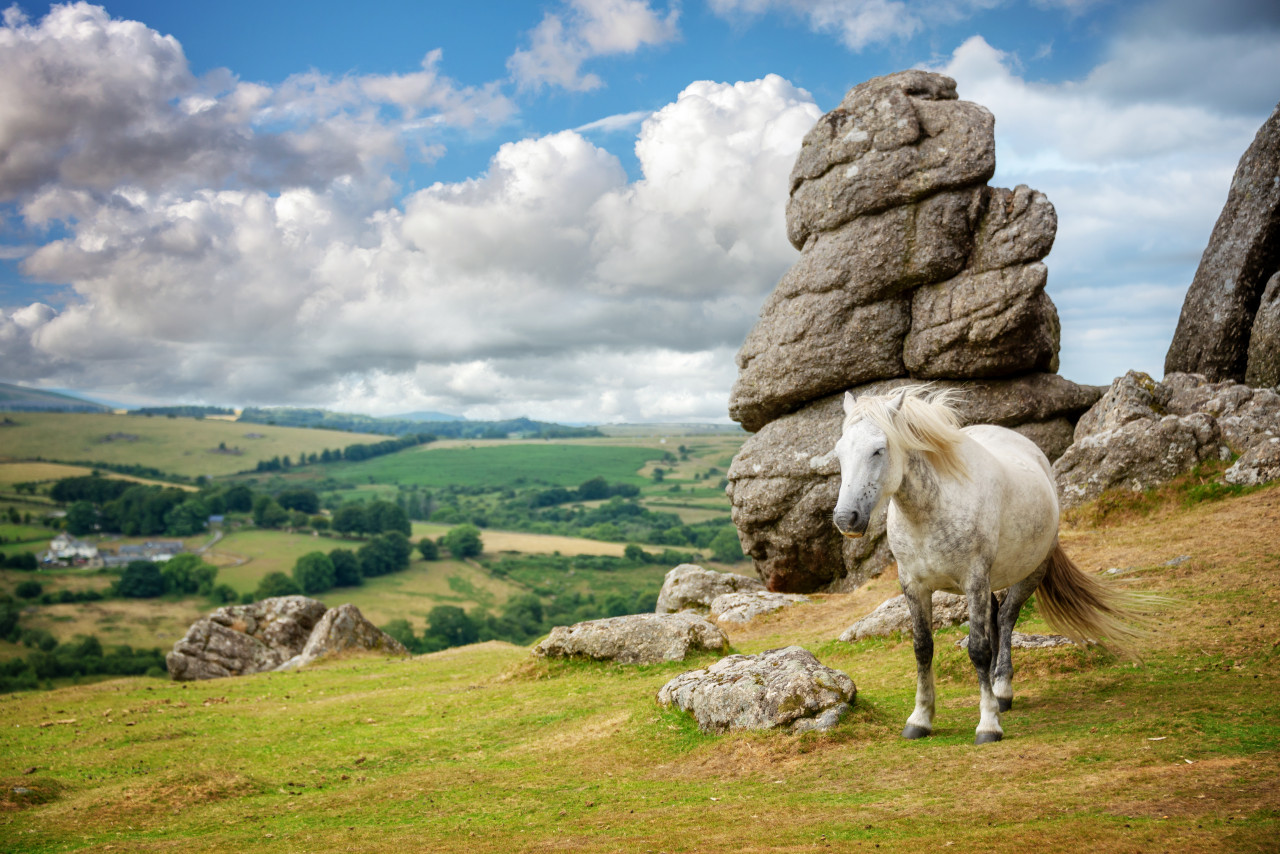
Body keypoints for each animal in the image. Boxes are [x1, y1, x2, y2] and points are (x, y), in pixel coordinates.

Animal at [834, 386, 1146, 742]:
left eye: (878, 450)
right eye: (839, 453)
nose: (845, 519)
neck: (932, 509)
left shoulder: (974, 582)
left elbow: (978, 649)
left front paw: (988, 724)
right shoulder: (914, 585)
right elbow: (922, 648)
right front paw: (921, 719)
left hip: (1029, 573)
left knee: (1007, 618)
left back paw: (1002, 690)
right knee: (997, 617)